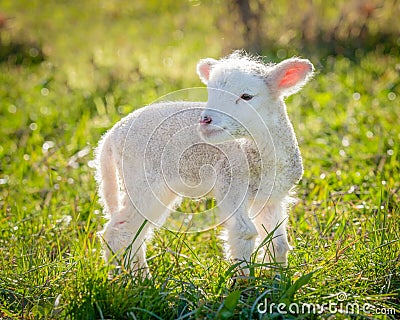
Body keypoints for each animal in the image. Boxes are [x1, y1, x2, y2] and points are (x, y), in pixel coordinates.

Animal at [95, 51, 314, 276]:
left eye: (247, 96)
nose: (205, 120)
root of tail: (110, 136)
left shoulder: (270, 198)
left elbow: (278, 243)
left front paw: (278, 278)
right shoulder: (231, 184)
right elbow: (244, 233)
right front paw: (244, 281)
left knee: (133, 232)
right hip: (142, 181)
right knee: (121, 230)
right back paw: (132, 278)